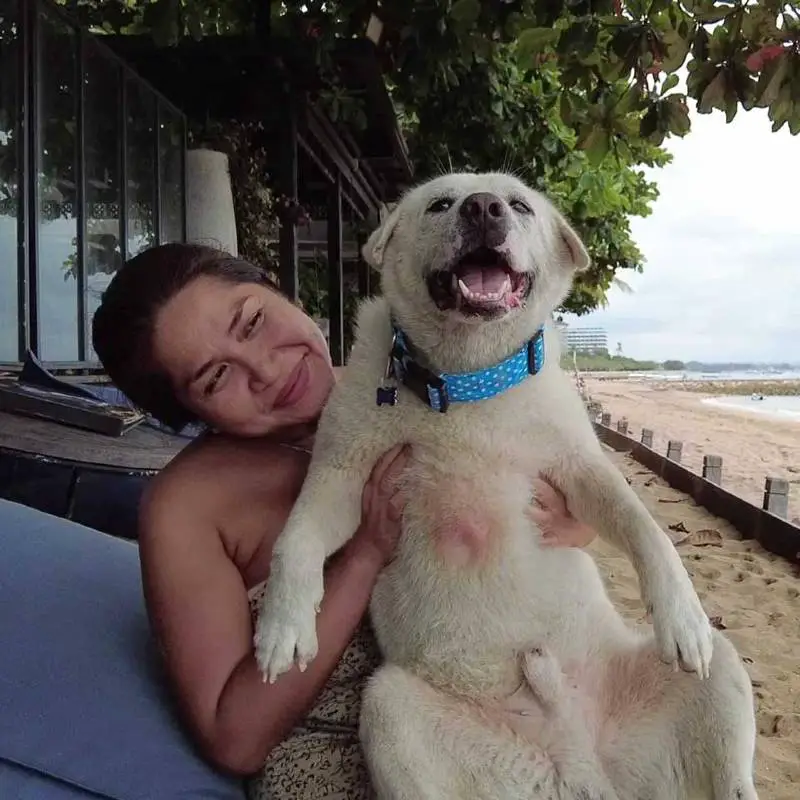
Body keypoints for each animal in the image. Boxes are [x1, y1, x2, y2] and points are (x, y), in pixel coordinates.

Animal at [255, 175, 756, 800]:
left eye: (518, 205)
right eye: (440, 204)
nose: (483, 208)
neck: (468, 381)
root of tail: (581, 767)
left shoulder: (580, 469)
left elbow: (644, 525)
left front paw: (681, 614)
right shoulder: (340, 475)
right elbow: (295, 541)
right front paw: (282, 624)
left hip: (723, 673)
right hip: (390, 712)